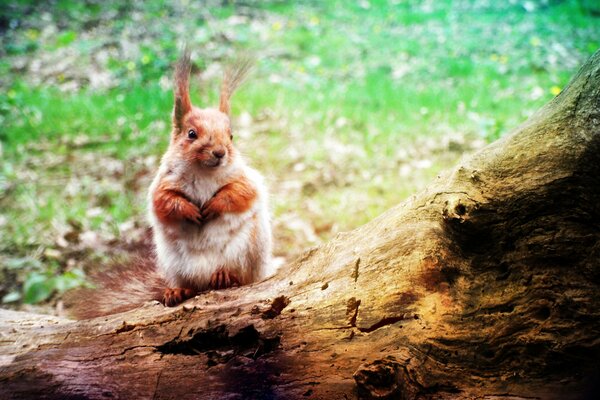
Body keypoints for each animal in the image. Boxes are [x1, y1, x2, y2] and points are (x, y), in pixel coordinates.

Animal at [68, 50, 272, 318]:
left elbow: (239, 194)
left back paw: (225, 276)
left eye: (231, 136)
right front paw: (189, 210)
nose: (220, 153)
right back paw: (177, 291)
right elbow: (165, 201)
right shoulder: (162, 184)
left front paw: (213, 205)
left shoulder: (245, 179)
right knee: (190, 286)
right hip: (175, 264)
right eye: (191, 134)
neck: (203, 172)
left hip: (245, 253)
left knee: (239, 276)